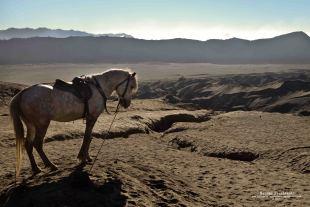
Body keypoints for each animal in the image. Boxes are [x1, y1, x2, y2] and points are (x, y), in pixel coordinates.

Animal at [9, 68, 138, 175]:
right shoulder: (92, 117)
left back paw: (36, 168)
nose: (127, 103)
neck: (99, 88)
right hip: (42, 124)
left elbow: (88, 137)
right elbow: (87, 137)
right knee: (37, 144)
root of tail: (22, 93)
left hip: (31, 125)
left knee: (28, 144)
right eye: (131, 86)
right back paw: (51, 165)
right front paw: (83, 158)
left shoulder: (90, 118)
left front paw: (86, 157)